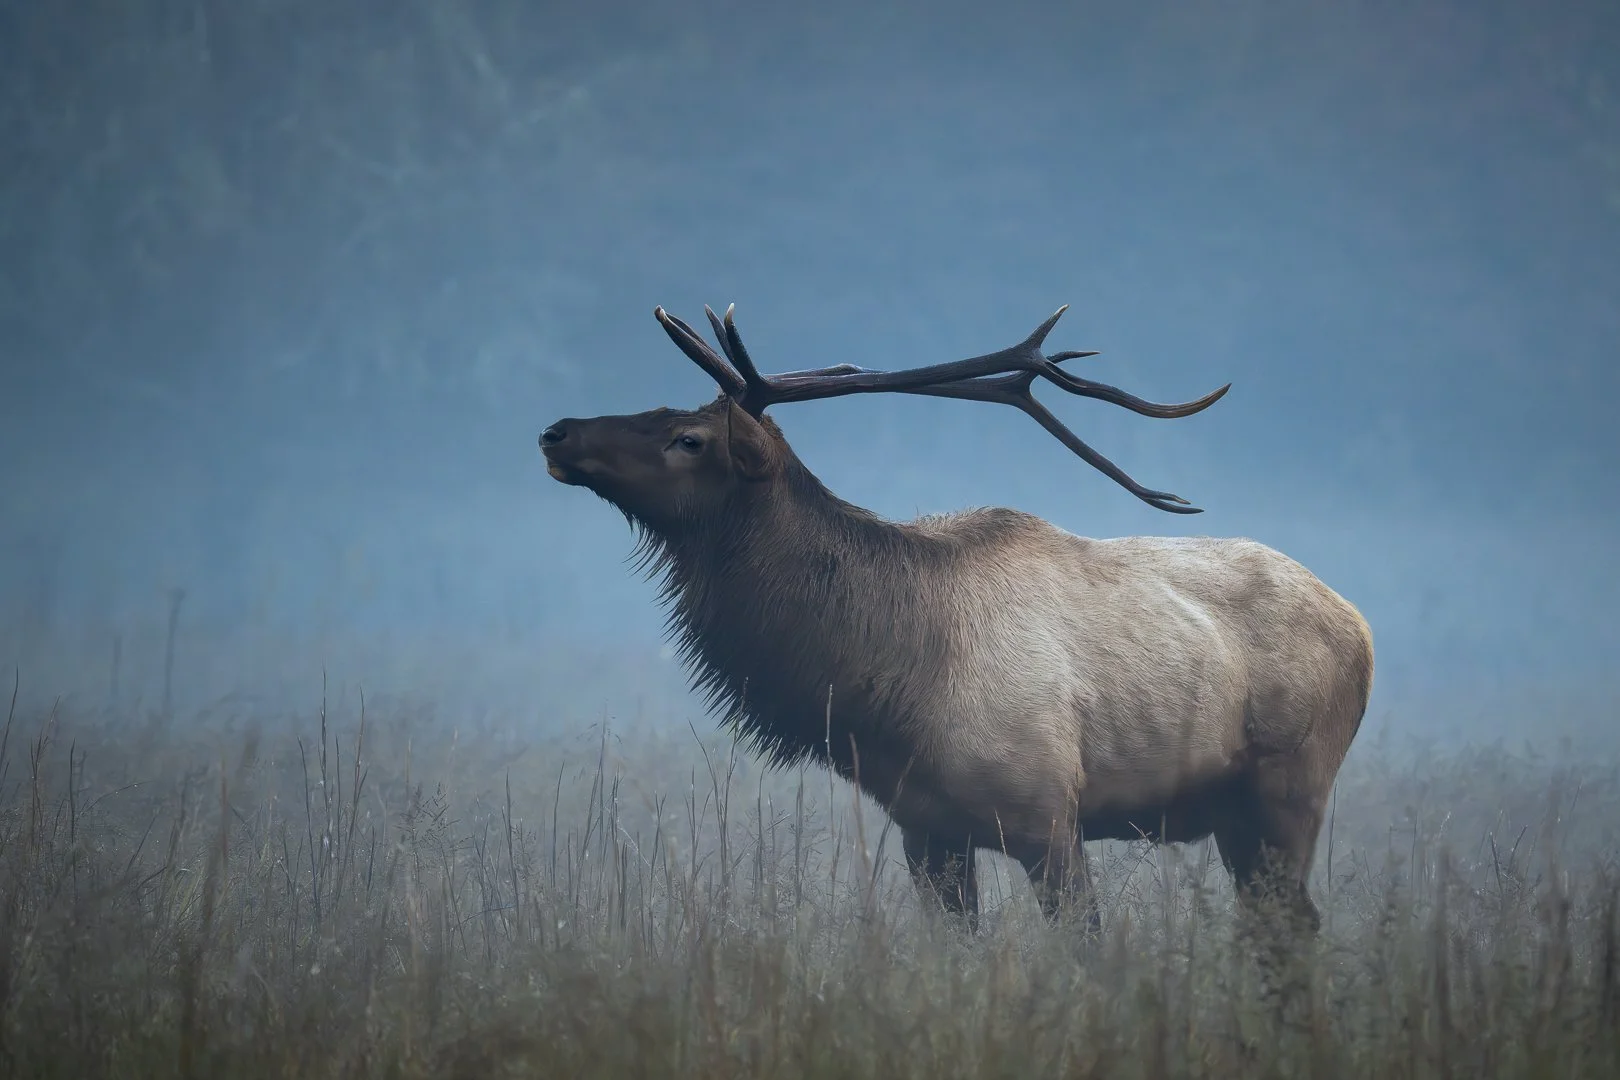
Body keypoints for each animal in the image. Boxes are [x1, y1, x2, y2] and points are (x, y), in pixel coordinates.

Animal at [538, 303, 1374, 944]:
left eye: (689, 439)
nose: (558, 432)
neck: (889, 696)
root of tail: (1360, 625)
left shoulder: (1048, 813)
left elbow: (1090, 951)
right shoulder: (926, 831)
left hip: (1291, 785)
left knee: (1293, 928)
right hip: (1236, 815)